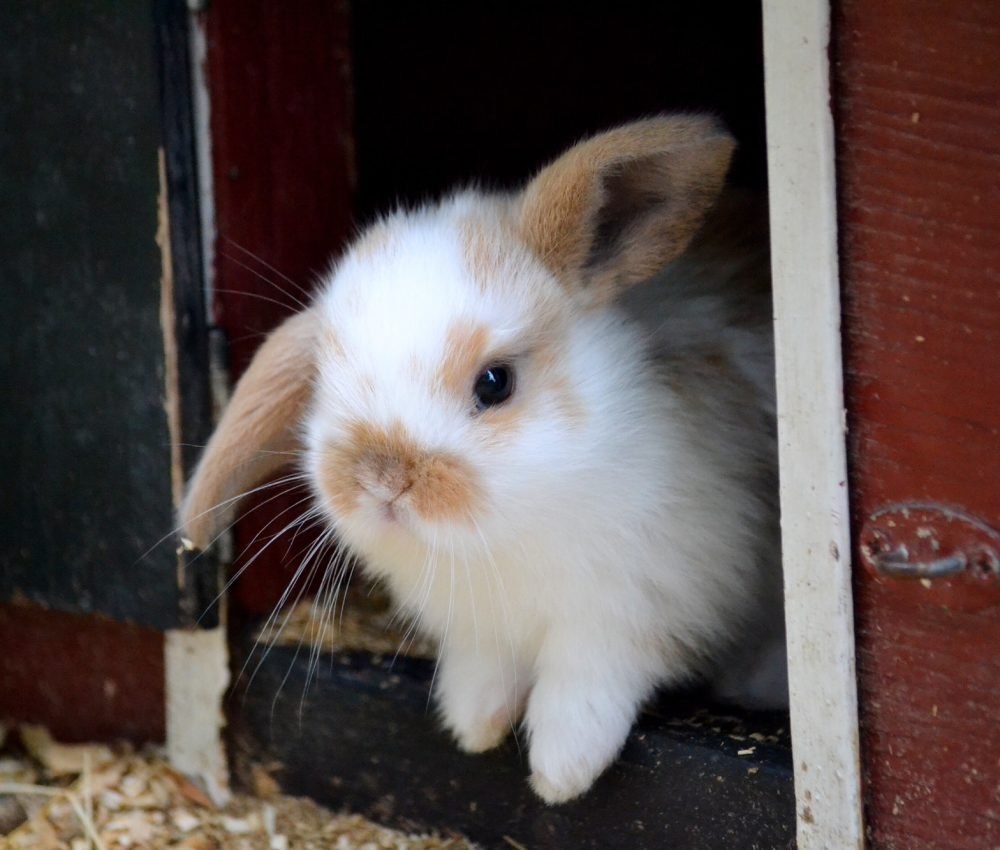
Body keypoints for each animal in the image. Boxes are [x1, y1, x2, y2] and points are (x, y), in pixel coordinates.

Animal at [179, 114, 786, 805]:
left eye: (495, 383)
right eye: (323, 382)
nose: (383, 478)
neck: (502, 541)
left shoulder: (637, 607)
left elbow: (588, 682)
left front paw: (560, 774)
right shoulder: (483, 631)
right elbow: (486, 670)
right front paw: (474, 726)